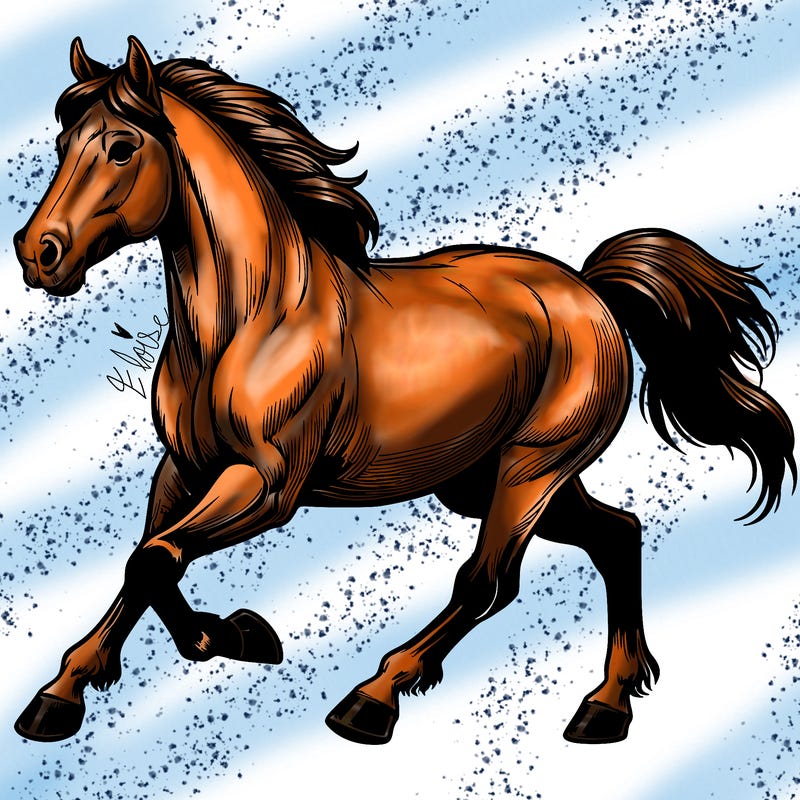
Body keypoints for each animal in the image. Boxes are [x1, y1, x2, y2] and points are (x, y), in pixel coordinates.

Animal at [13, 36, 795, 746]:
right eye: (62, 140)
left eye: (121, 147)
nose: (37, 253)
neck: (250, 321)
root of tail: (588, 290)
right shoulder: (183, 469)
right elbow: (144, 559)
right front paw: (76, 688)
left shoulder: (268, 483)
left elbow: (153, 558)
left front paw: (222, 639)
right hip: (487, 479)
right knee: (618, 535)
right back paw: (606, 707)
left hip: (532, 467)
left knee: (489, 580)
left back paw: (374, 697)